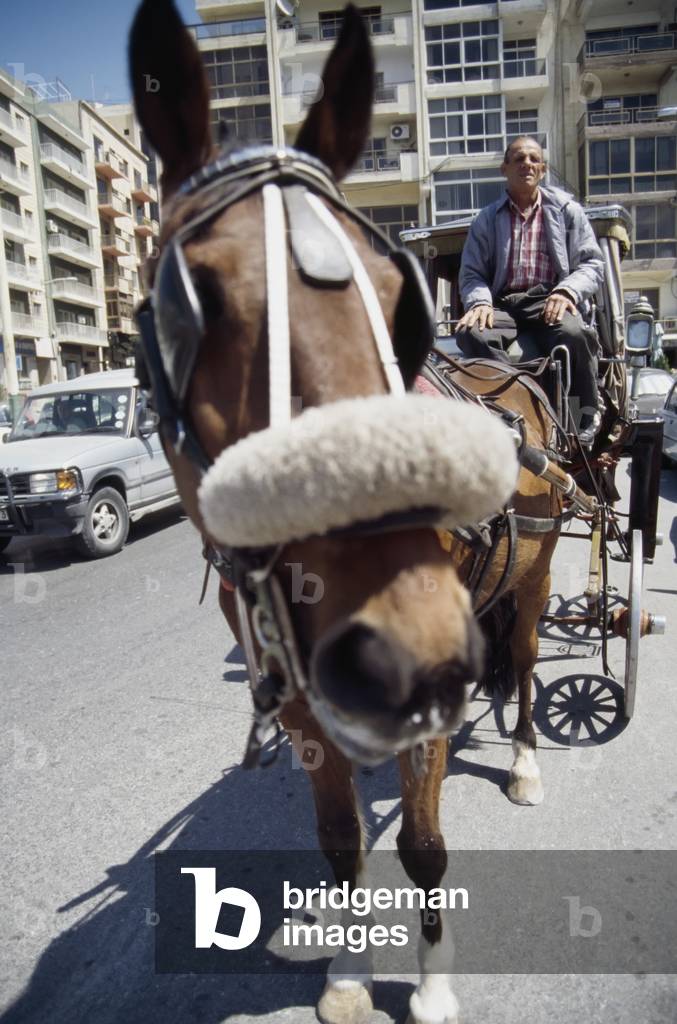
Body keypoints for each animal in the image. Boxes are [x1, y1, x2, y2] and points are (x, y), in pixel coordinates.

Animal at [129, 3, 523, 1022]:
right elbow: (343, 841)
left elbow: (422, 846)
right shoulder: (305, 701)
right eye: (189, 310)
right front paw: (345, 973)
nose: (409, 651)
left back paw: (525, 750)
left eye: (397, 301)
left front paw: (429, 986)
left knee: (531, 653)